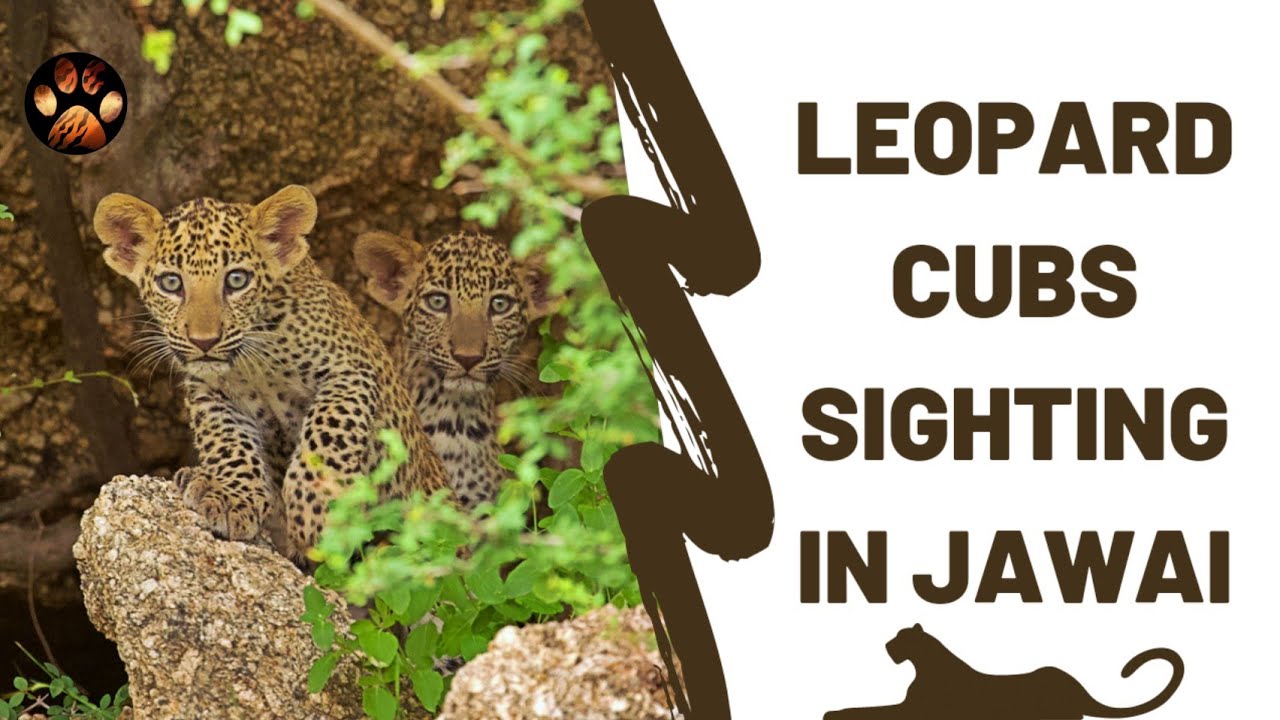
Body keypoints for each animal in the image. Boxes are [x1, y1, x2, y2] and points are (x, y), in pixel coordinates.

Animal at [94, 185, 447, 565]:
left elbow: (329, 426)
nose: (204, 341)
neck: (253, 365)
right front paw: (231, 496)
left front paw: (316, 506)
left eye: (236, 280)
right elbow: (226, 441)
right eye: (171, 283)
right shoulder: (210, 393)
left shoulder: (351, 369)